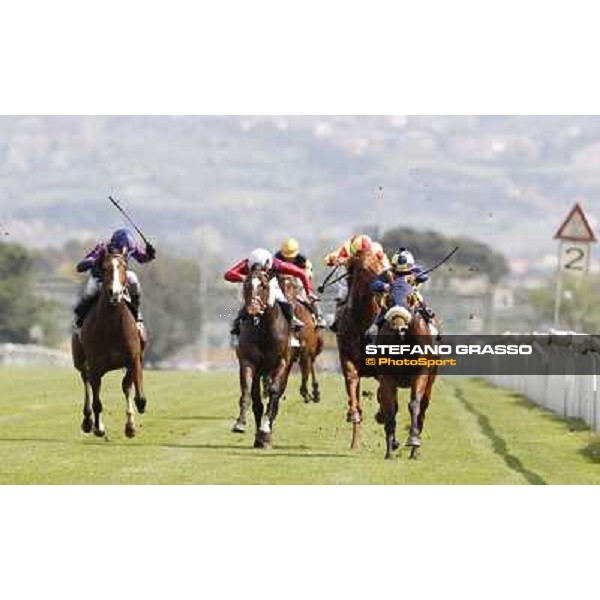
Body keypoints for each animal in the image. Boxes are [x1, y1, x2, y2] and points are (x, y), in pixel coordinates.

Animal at [72, 251, 147, 438]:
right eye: (104, 268)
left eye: (123, 266)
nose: (115, 292)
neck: (112, 327)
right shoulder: (94, 365)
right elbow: (97, 401)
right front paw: (98, 428)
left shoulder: (133, 358)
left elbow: (134, 393)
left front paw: (131, 425)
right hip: (81, 362)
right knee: (86, 381)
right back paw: (88, 421)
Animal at [232, 266, 290, 446]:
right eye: (246, 284)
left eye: (263, 286)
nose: (253, 309)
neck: (264, 329)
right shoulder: (248, 362)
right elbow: (247, 391)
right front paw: (240, 423)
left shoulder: (281, 362)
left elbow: (274, 392)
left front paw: (265, 428)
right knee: (257, 400)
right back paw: (259, 438)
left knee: (275, 397)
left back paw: (265, 433)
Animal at [332, 248, 384, 450]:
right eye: (362, 269)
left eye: (379, 265)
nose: (382, 284)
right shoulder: (347, 355)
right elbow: (352, 382)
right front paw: (353, 414)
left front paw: (381, 413)